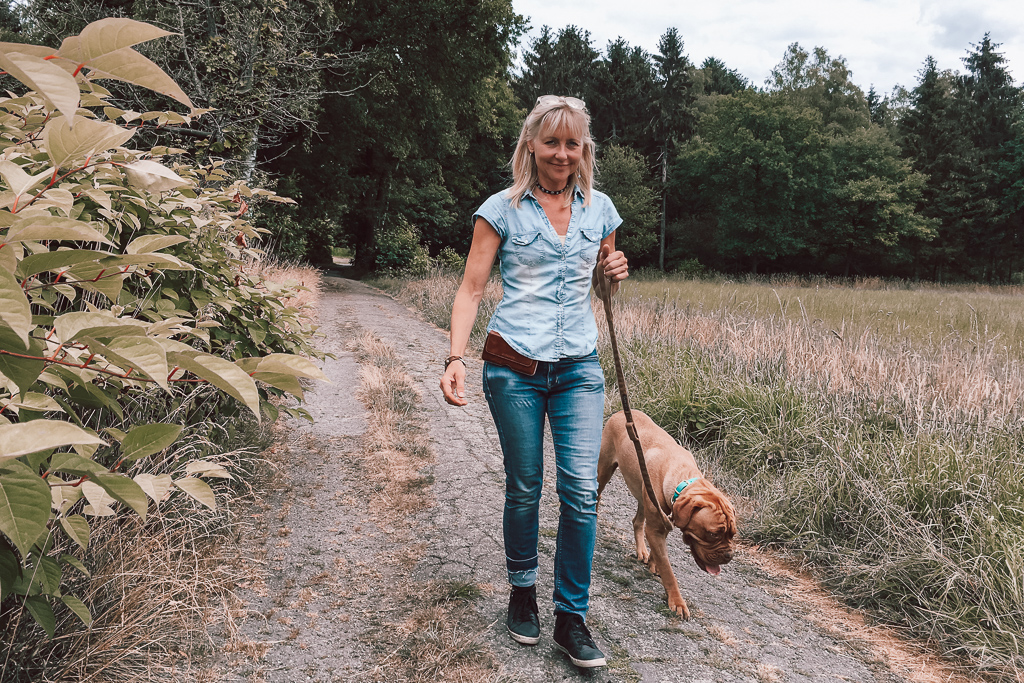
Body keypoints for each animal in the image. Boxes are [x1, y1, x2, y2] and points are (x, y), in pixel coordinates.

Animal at [598, 411, 737, 618]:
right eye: (713, 534)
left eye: (733, 534)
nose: (729, 555)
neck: (681, 478)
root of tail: (622, 412)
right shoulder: (656, 529)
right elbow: (669, 571)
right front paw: (677, 602)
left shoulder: (660, 524)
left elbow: (658, 554)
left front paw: (653, 563)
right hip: (604, 470)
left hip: (643, 494)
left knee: (637, 521)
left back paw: (642, 550)